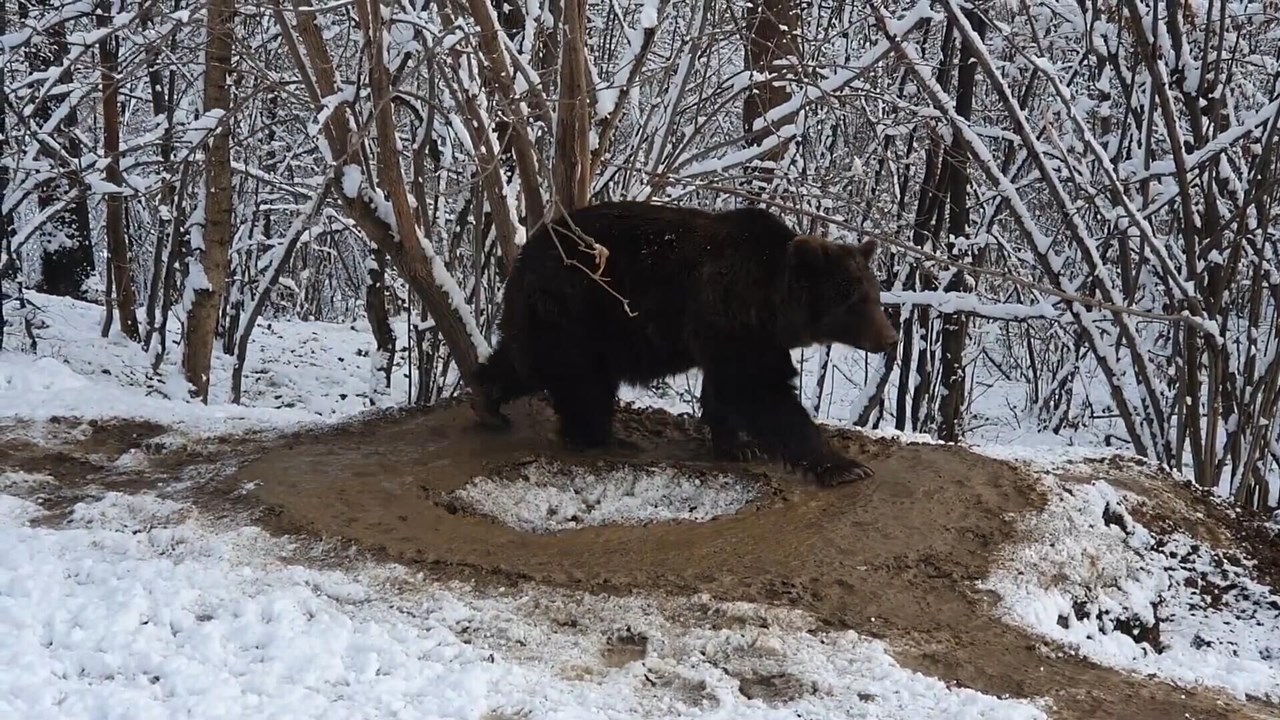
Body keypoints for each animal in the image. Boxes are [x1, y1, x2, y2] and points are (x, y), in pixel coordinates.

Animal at [470, 199, 900, 485]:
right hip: (580, 309)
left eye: (875, 293)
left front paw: (737, 445)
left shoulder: (733, 333)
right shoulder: (734, 320)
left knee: (524, 360)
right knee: (580, 379)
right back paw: (598, 437)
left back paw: (488, 401)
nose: (890, 337)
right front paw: (845, 466)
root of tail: (522, 257)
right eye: (854, 300)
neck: (775, 305)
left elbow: (725, 390)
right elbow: (762, 392)